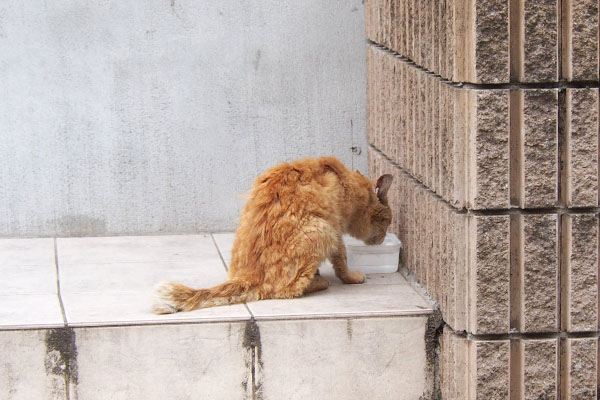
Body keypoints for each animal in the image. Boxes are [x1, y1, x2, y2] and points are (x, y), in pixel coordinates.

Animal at [152, 155, 392, 314]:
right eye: (388, 222)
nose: (383, 238)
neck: (349, 184)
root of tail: (250, 275)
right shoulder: (336, 229)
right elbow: (341, 261)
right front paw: (352, 277)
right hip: (320, 230)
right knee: (288, 291)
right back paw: (319, 282)